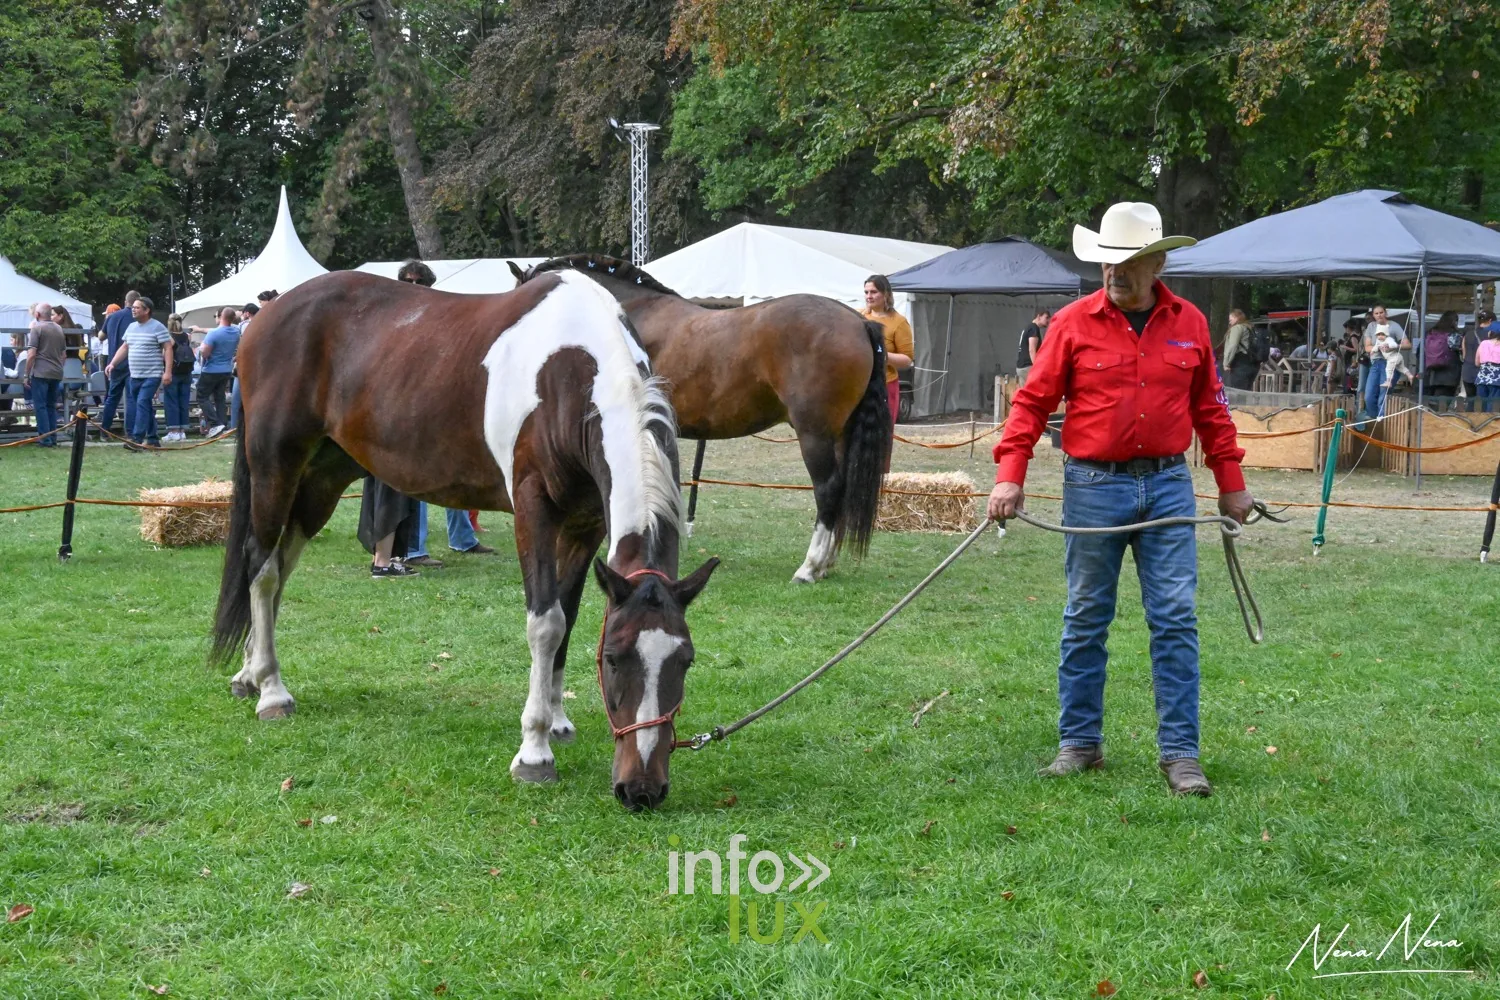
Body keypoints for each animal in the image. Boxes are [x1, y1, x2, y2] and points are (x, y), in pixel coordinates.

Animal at [209, 268, 718, 810]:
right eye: (614, 659)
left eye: (685, 660)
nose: (641, 789)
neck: (571, 371)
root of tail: (266, 316)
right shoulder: (534, 509)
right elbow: (546, 623)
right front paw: (534, 751)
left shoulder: (584, 525)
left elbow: (569, 614)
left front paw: (558, 721)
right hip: (275, 465)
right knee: (262, 569)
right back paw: (271, 690)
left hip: (324, 477)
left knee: (279, 568)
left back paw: (248, 674)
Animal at [511, 255, 892, 583]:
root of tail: (861, 321)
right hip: (840, 435)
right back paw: (826, 564)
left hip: (814, 434)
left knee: (827, 490)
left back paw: (810, 567)